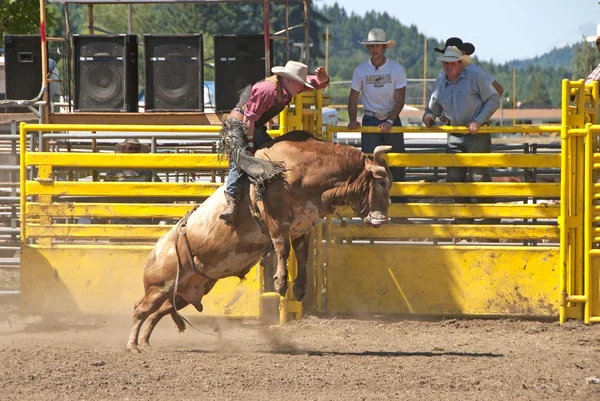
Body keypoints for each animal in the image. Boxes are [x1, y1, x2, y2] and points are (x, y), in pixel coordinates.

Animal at [126, 120, 394, 352]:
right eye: (381, 183)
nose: (381, 220)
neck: (305, 168)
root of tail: (155, 251)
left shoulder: (303, 226)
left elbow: (302, 255)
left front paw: (299, 288)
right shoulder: (275, 217)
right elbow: (282, 247)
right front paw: (280, 283)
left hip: (184, 292)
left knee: (158, 312)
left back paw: (146, 342)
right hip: (160, 285)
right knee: (140, 309)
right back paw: (133, 346)